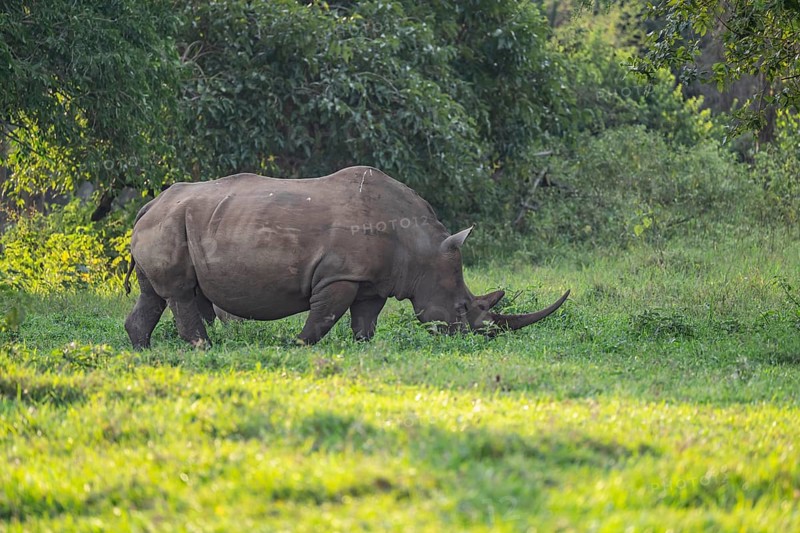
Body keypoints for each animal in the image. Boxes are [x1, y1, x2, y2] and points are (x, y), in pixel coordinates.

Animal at [123, 166, 569, 348]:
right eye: (461, 308)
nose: (473, 339)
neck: (422, 250)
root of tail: (148, 205)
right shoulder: (340, 276)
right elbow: (323, 318)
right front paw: (295, 345)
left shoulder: (373, 282)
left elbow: (364, 321)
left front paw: (364, 347)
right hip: (170, 222)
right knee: (179, 293)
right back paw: (203, 349)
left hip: (171, 221)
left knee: (154, 295)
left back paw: (143, 350)